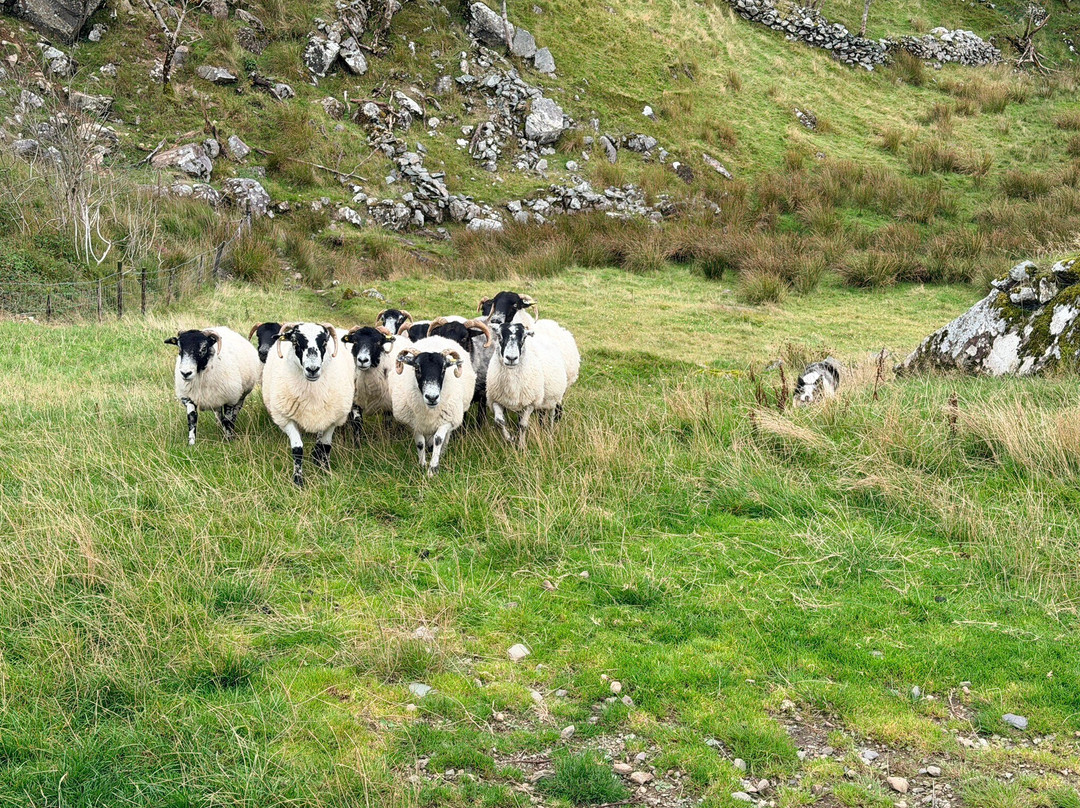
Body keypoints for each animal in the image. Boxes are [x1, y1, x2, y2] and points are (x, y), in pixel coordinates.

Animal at [262, 322, 354, 486]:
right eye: (295, 342)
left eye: (324, 342)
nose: (312, 369)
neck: (312, 396)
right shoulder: (286, 419)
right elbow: (298, 449)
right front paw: (298, 480)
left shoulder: (334, 419)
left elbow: (326, 446)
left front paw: (325, 470)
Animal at [388, 335, 476, 475]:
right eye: (416, 368)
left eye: (444, 369)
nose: (432, 397)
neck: (429, 410)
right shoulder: (414, 424)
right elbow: (420, 443)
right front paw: (422, 465)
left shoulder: (447, 420)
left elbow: (438, 440)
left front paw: (433, 469)